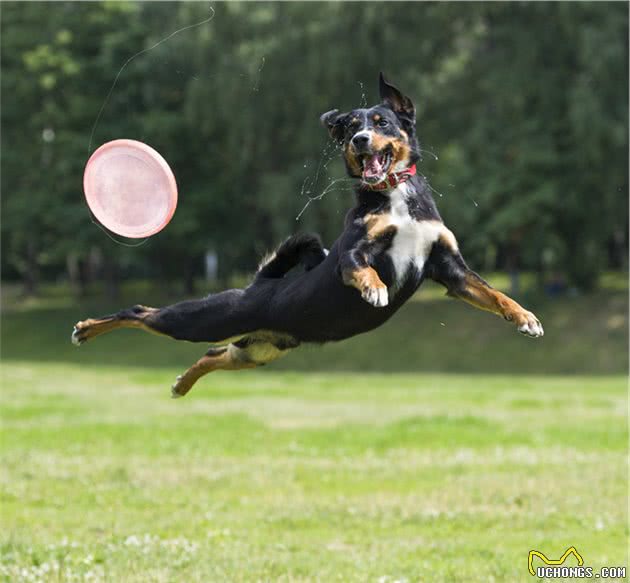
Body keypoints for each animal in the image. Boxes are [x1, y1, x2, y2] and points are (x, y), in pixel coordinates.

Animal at [73, 74, 544, 396]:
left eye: (382, 122)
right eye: (351, 126)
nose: (359, 139)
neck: (395, 197)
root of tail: (260, 286)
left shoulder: (449, 268)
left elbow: (495, 294)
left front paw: (525, 318)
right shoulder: (351, 255)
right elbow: (363, 270)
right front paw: (375, 289)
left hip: (258, 350)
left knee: (212, 354)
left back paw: (181, 384)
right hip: (204, 318)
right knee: (139, 311)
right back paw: (86, 329)